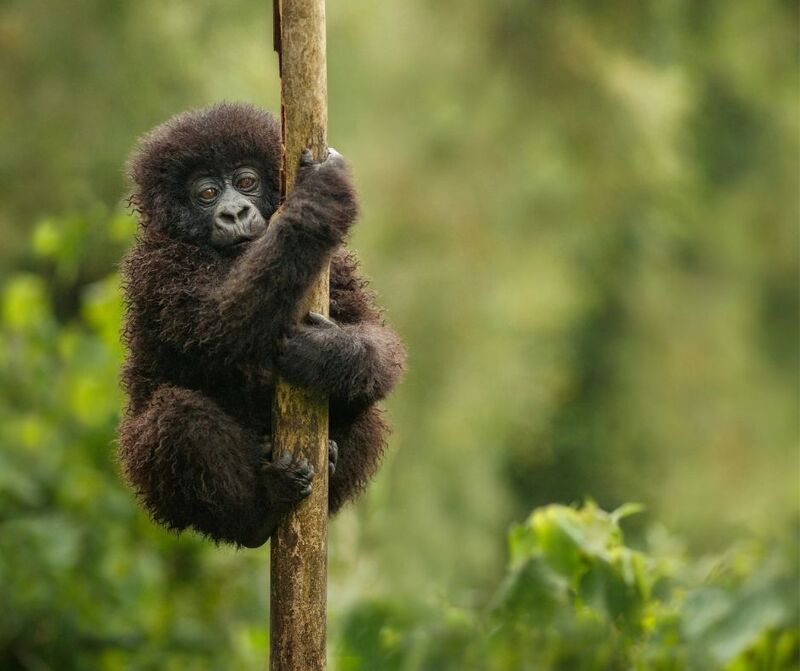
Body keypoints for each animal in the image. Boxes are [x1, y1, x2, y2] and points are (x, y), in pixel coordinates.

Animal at [117, 102, 405, 547]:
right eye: (206, 194)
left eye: (246, 182)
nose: (234, 211)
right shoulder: (158, 268)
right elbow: (222, 325)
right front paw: (318, 200)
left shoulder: (336, 265)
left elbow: (375, 338)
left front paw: (327, 355)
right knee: (177, 416)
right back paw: (259, 512)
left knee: (369, 408)